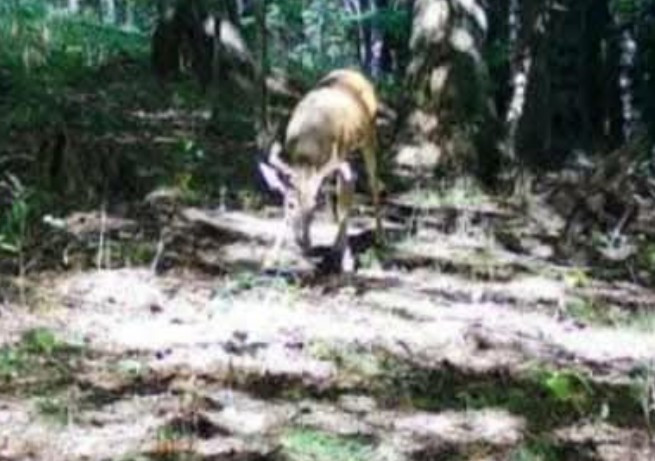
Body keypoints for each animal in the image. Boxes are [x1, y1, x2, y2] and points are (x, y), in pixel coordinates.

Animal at [258, 68, 382, 272]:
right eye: (290, 204)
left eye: (314, 207)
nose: (302, 242)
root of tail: (353, 71)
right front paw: (270, 258)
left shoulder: (340, 158)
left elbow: (344, 206)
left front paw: (347, 261)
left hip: (368, 136)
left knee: (371, 185)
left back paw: (379, 236)